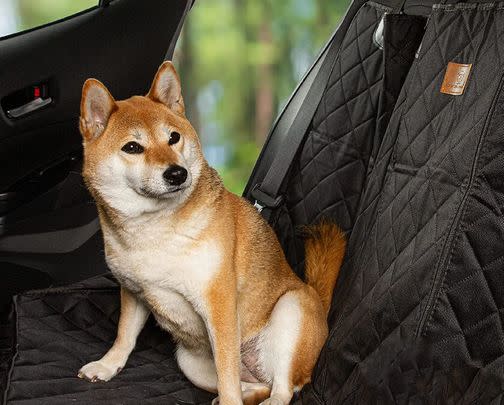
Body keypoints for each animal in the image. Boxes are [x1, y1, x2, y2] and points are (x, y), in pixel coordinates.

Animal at [77, 60, 346, 404]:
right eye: (133, 147)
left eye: (174, 138)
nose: (177, 174)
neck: (154, 227)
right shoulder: (134, 291)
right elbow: (125, 334)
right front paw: (108, 365)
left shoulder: (219, 304)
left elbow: (227, 372)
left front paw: (230, 398)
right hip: (189, 361)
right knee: (256, 386)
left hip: (291, 312)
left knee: (282, 390)